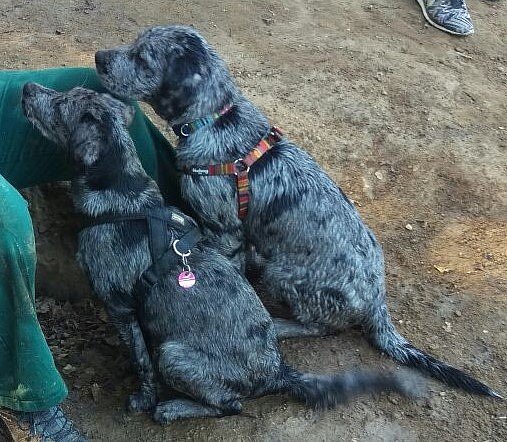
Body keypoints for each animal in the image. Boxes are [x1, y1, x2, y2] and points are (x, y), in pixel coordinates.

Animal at [20, 83, 424, 424]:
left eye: (62, 104)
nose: (26, 87)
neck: (123, 193)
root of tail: (277, 372)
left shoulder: (120, 308)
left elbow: (141, 363)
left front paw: (143, 399)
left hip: (174, 354)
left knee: (230, 406)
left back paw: (173, 408)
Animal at [94, 23, 504, 398]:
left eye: (143, 58)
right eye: (133, 43)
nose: (98, 58)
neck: (217, 119)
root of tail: (377, 301)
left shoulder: (225, 231)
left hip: (285, 275)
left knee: (319, 326)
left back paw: (281, 325)